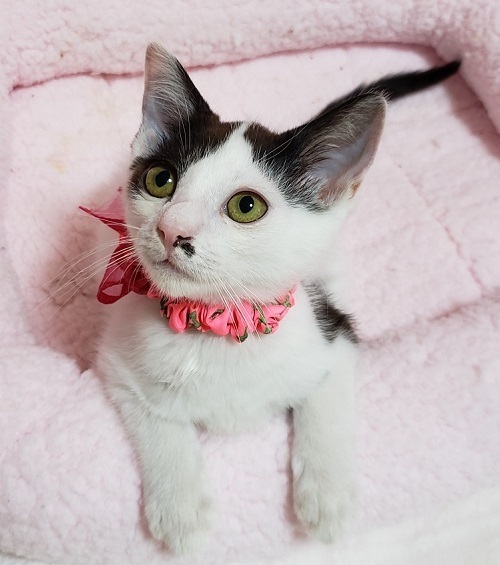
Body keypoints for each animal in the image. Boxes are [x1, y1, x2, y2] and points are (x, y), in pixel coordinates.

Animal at [95, 43, 459, 553]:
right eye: (160, 180)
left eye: (246, 206)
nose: (170, 229)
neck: (215, 322)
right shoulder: (116, 360)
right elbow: (157, 421)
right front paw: (181, 510)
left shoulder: (335, 333)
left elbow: (325, 406)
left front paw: (327, 498)